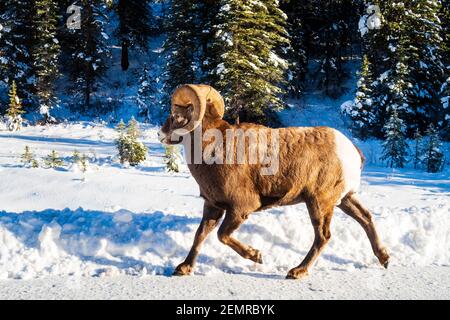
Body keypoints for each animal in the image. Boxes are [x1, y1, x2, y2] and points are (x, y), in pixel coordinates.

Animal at [159, 84, 390, 278]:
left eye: (176, 115)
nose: (161, 134)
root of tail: (351, 151)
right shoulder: (213, 207)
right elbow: (200, 235)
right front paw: (183, 268)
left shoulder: (241, 208)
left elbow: (222, 235)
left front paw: (256, 256)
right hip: (344, 199)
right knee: (366, 218)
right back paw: (384, 258)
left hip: (319, 203)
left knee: (323, 236)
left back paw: (297, 272)